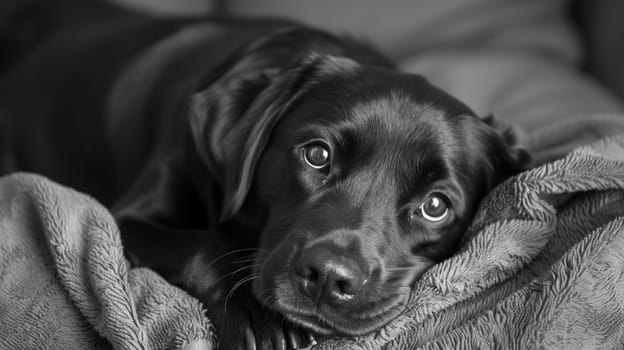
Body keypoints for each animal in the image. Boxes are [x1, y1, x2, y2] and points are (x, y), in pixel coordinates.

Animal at [1, 1, 532, 348]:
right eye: (316, 155)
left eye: (436, 206)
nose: (328, 278)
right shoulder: (126, 215)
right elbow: (203, 243)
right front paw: (256, 320)